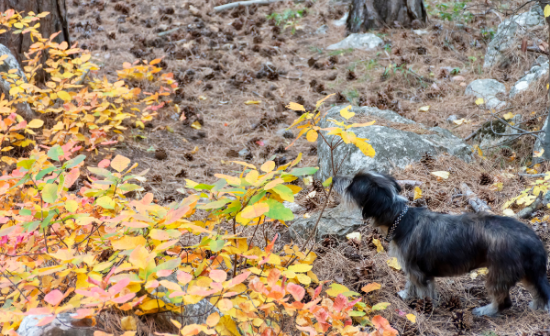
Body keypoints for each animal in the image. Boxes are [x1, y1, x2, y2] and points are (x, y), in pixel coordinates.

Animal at [332, 172, 550, 316]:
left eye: (353, 183)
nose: (333, 179)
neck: (401, 219)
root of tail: (533, 239)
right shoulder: (411, 269)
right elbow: (409, 284)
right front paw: (405, 295)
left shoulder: (419, 273)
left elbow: (423, 293)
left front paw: (422, 309)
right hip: (528, 273)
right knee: (538, 293)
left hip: (499, 275)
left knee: (504, 302)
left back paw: (485, 310)